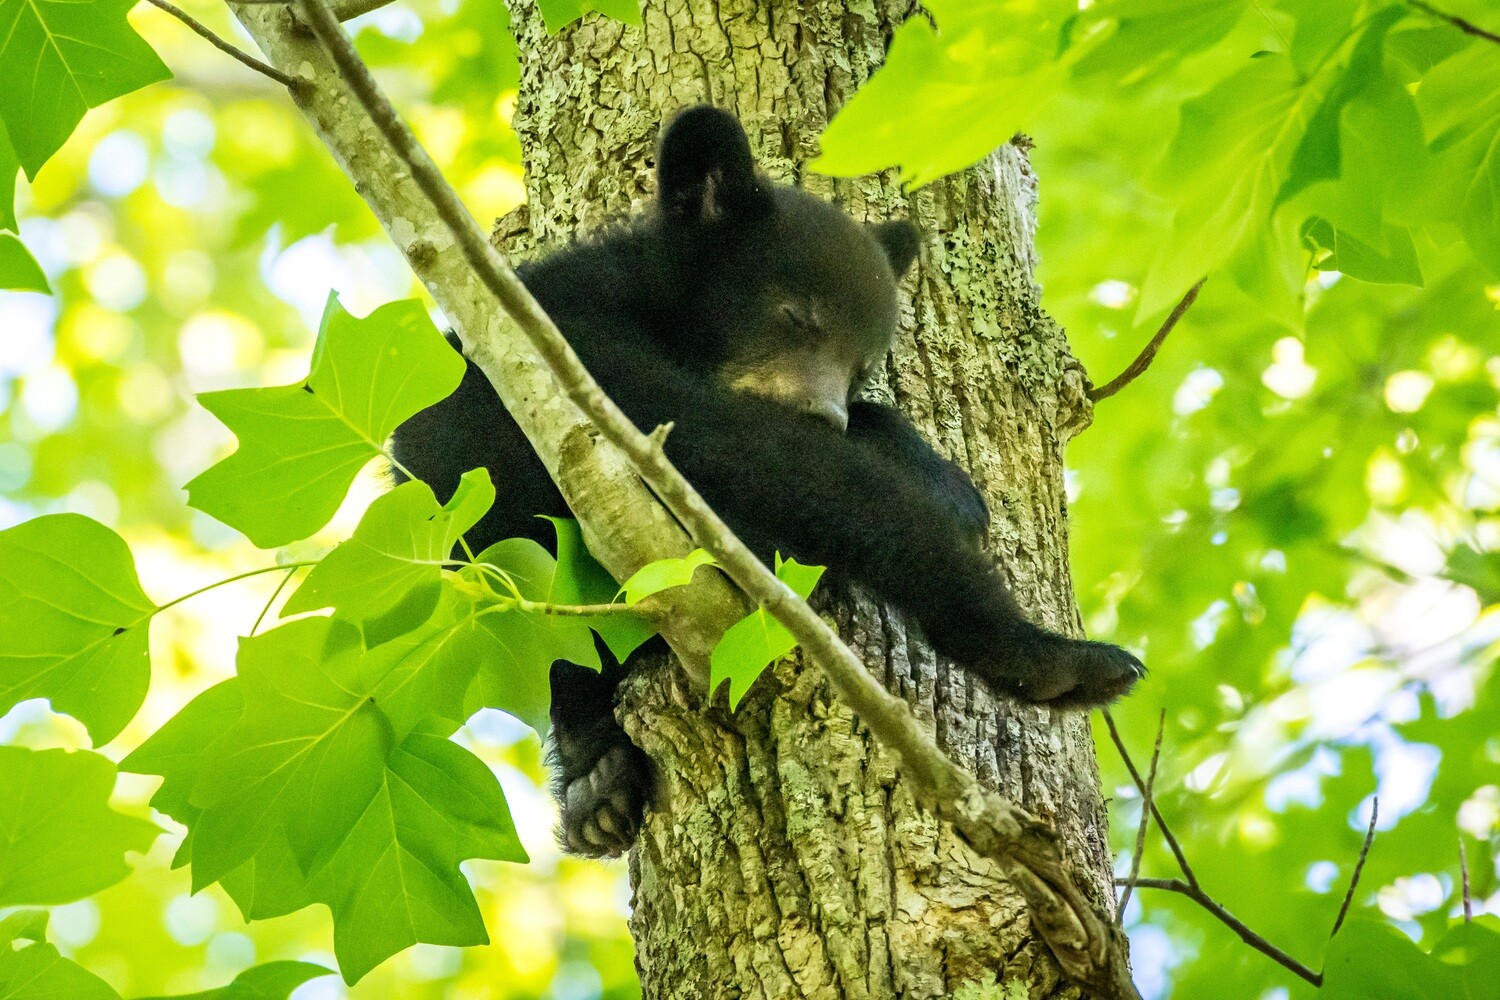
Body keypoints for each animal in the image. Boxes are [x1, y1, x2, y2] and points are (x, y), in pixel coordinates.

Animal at [391, 105, 1143, 857]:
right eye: (797, 316)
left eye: (863, 362)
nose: (825, 413)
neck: (657, 306)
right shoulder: (576, 342)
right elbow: (752, 453)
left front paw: (947, 482)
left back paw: (596, 781)